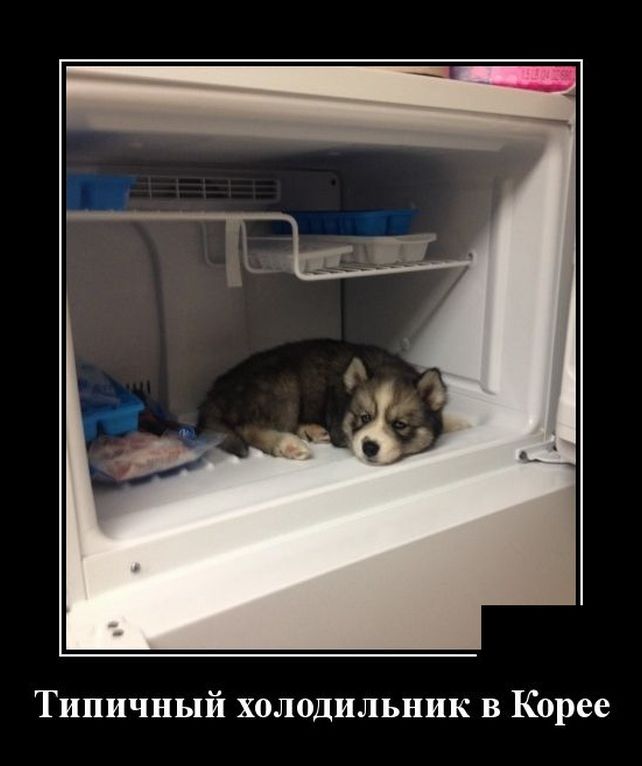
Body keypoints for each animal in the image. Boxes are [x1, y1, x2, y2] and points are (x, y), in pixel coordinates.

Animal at [198, 339, 459, 466]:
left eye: (400, 425)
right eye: (364, 417)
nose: (369, 447)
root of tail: (215, 391)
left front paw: (459, 422)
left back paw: (311, 430)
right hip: (285, 388)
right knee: (248, 427)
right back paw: (289, 444)